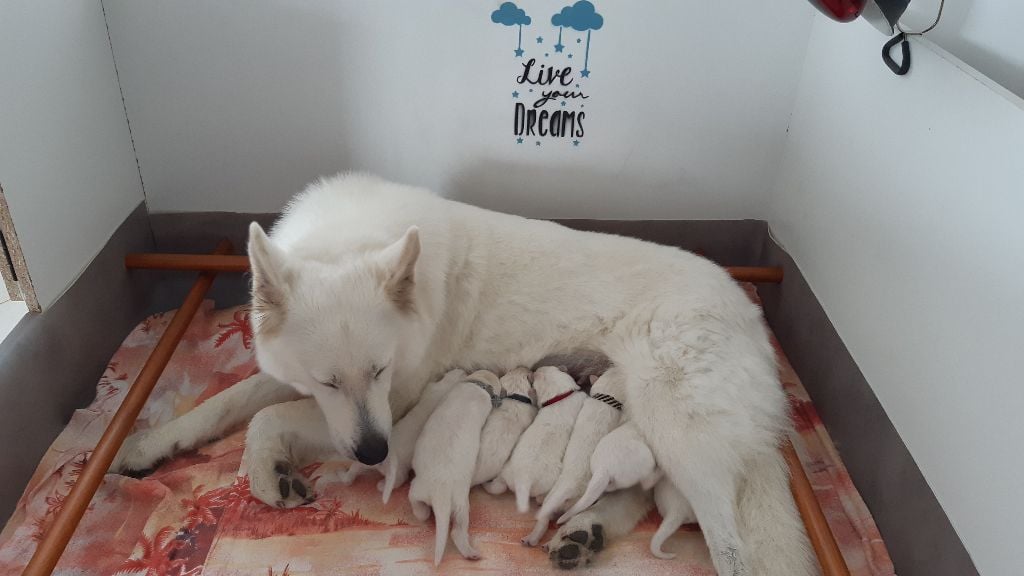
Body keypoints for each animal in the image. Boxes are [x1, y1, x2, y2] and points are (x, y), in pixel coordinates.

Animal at [487, 362, 585, 510]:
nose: (533, 371)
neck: (558, 396)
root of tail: (524, 481)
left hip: (505, 470)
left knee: (498, 485)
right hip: (549, 479)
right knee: (539, 498)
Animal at [524, 364, 626, 545]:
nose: (614, 364)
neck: (604, 401)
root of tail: (569, 488)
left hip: (557, 497)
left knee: (544, 518)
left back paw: (533, 537)